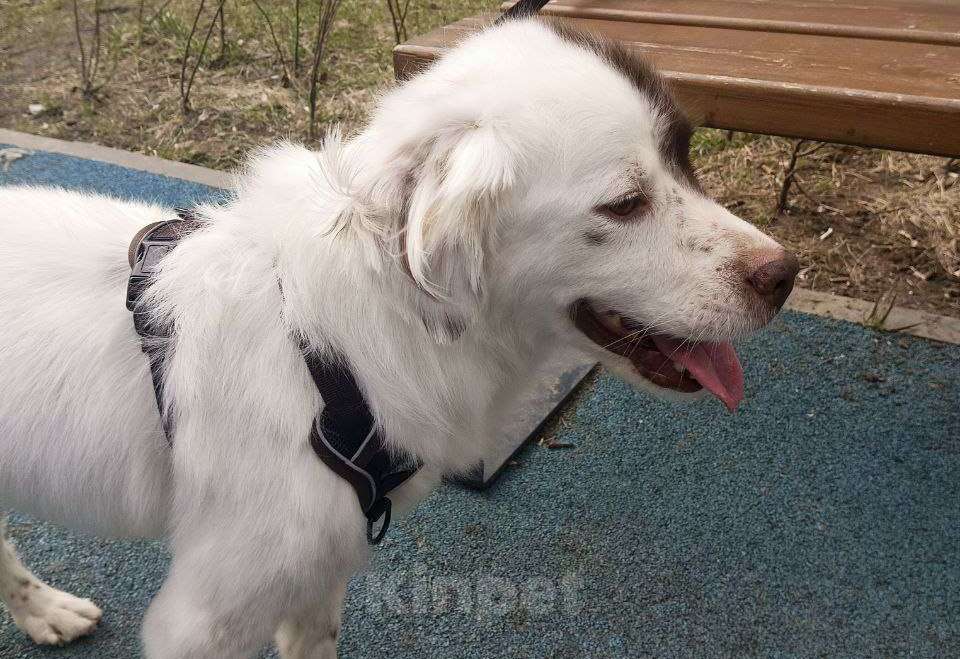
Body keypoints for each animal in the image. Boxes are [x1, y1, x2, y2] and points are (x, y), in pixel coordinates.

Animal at [0, 16, 798, 658]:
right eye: (625, 203)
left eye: (686, 158)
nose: (786, 273)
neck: (331, 357)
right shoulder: (203, 618)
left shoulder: (318, 578)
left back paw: (44, 611)